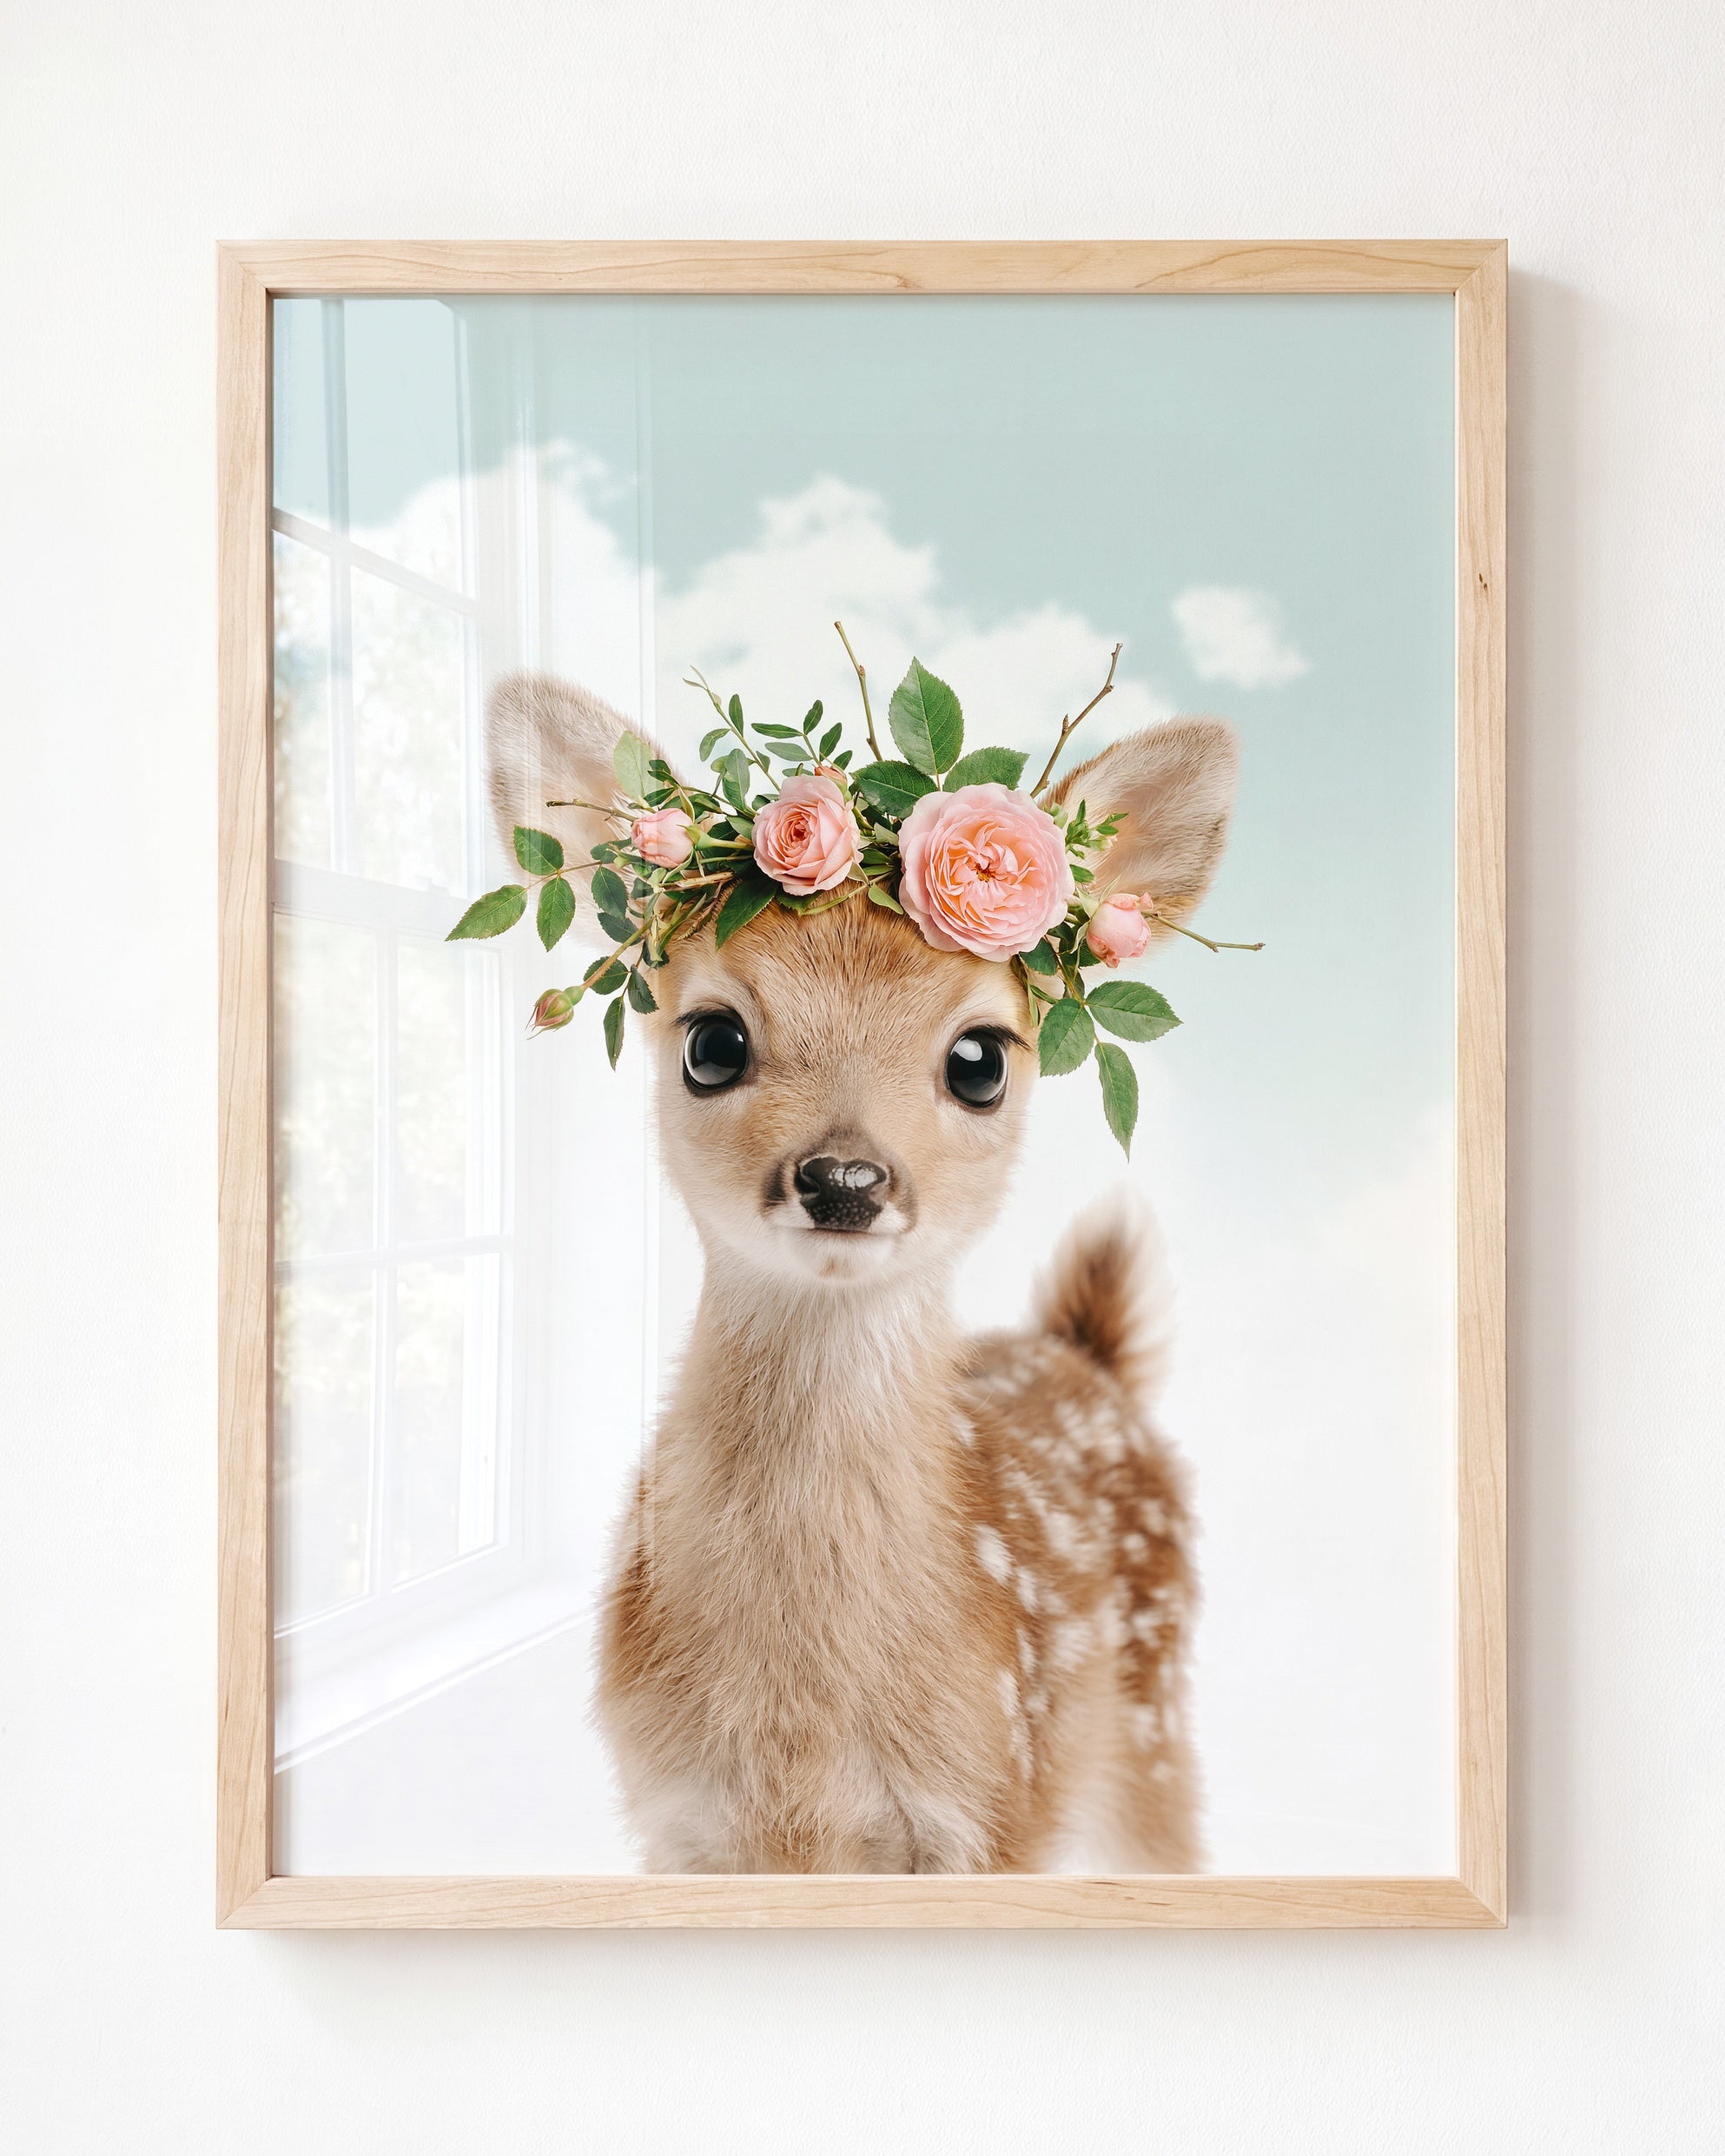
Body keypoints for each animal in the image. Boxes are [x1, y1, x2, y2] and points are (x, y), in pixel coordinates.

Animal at [486, 670, 1239, 1873]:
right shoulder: (679, 1821)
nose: (844, 1177)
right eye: (711, 1042)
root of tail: (1087, 1356)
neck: (802, 1737)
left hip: (1149, 1733)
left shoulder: (991, 1807)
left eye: (980, 1059)